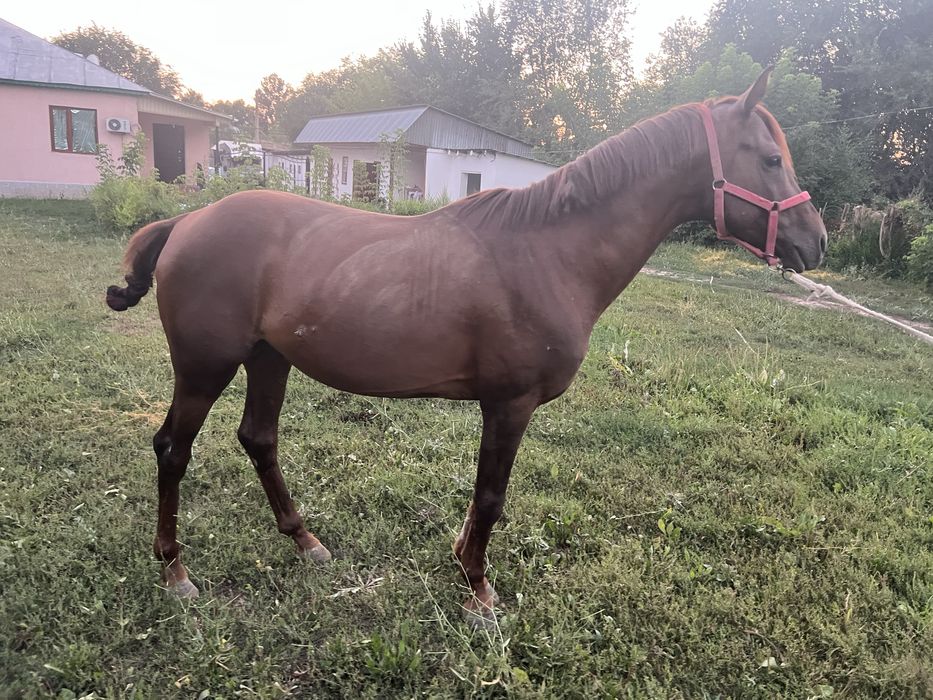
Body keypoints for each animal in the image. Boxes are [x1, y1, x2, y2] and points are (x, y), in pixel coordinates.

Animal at [106, 69, 826, 627]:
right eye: (769, 159)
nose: (813, 241)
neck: (548, 251)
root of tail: (187, 221)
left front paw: (461, 561)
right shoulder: (509, 404)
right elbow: (490, 497)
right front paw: (478, 587)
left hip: (267, 358)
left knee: (258, 440)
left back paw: (305, 540)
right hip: (205, 367)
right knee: (172, 449)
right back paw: (175, 571)